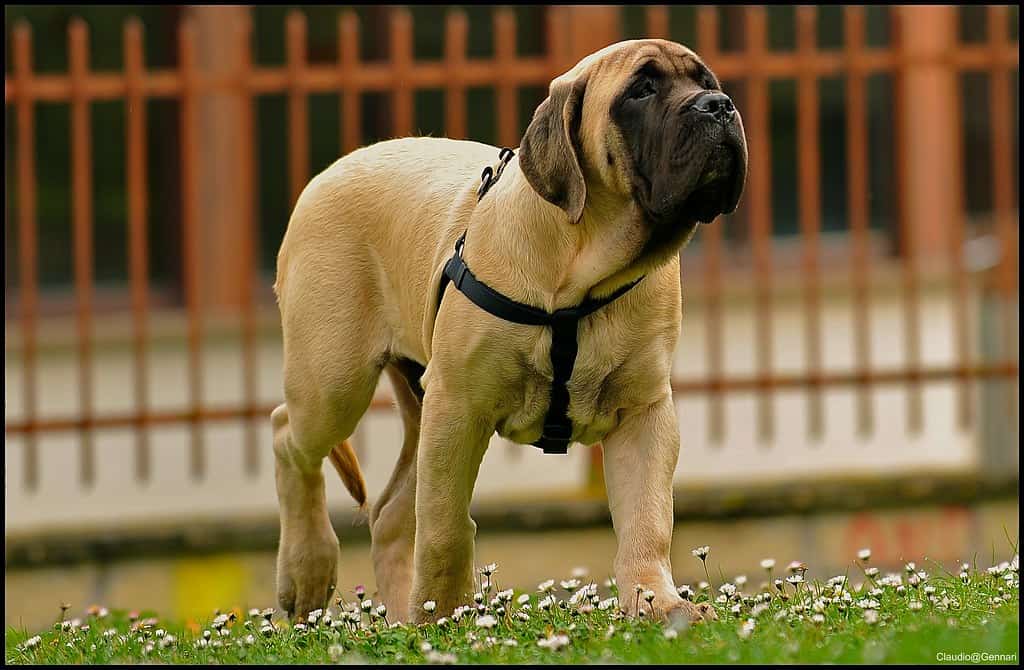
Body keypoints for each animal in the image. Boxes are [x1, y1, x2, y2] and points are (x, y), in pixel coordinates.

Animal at [274, 38, 745, 622]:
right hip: (335, 381)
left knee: (390, 514)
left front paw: (657, 602)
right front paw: (446, 611)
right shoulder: (458, 406)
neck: (581, 270)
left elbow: (647, 518)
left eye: (709, 83)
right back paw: (310, 572)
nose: (719, 107)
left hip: (410, 400)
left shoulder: (645, 411)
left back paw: (406, 619)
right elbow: (446, 523)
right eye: (641, 90)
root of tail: (329, 172)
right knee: (288, 438)